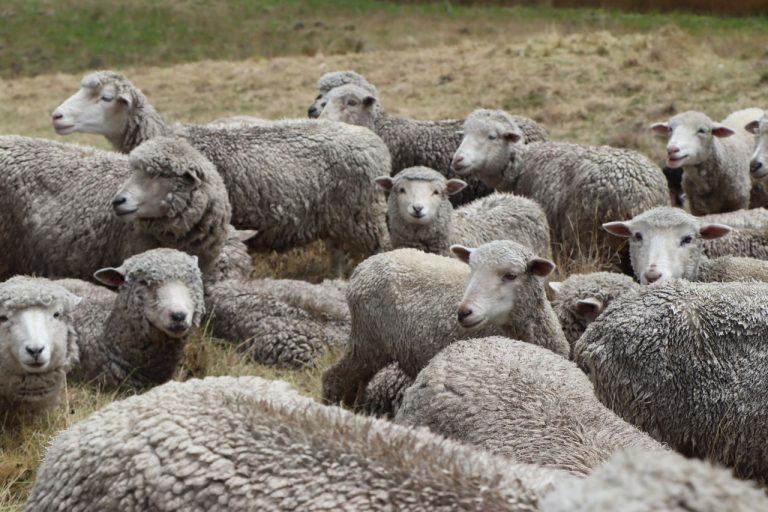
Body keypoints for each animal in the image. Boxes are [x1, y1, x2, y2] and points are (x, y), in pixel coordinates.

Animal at [322, 240, 568, 408]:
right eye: (471, 270)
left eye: (511, 275)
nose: (463, 312)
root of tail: (365, 265)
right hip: (367, 340)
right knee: (333, 378)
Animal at [452, 108, 669, 262]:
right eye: (464, 135)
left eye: (492, 136)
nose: (457, 159)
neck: (520, 164)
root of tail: (643, 194)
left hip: (595, 241)